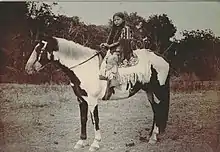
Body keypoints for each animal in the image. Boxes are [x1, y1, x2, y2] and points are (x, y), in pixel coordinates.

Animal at [25, 36, 170, 151]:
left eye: (39, 50)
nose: (27, 68)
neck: (83, 67)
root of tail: (163, 59)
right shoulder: (81, 99)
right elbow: (83, 119)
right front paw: (81, 142)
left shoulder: (92, 100)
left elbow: (95, 120)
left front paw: (95, 144)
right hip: (149, 92)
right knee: (156, 110)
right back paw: (150, 136)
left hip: (158, 91)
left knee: (159, 110)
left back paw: (153, 138)